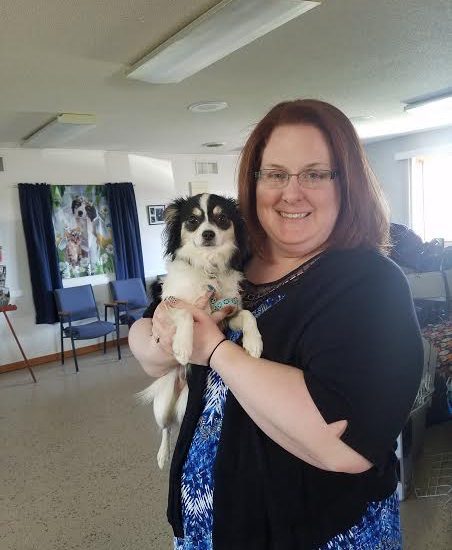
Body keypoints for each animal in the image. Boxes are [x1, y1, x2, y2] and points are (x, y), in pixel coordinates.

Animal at [139, 194, 264, 470]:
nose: (208, 233)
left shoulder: (228, 314)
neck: (208, 267)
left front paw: (254, 343)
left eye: (222, 218)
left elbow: (248, 316)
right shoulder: (168, 307)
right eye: (193, 221)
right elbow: (187, 312)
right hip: (163, 403)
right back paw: (162, 455)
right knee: (165, 428)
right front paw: (183, 347)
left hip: (186, 402)